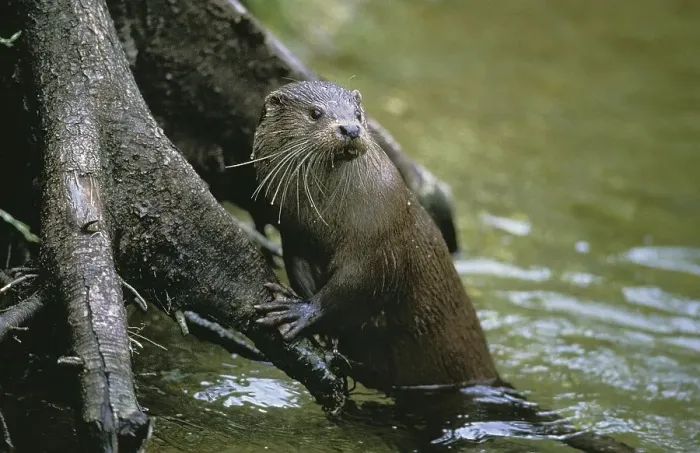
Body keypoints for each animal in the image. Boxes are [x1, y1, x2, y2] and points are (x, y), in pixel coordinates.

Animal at [251, 81, 498, 390]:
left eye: (358, 114)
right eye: (315, 113)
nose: (350, 129)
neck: (326, 219)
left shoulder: (379, 246)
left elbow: (355, 290)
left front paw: (301, 310)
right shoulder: (295, 238)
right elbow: (301, 272)